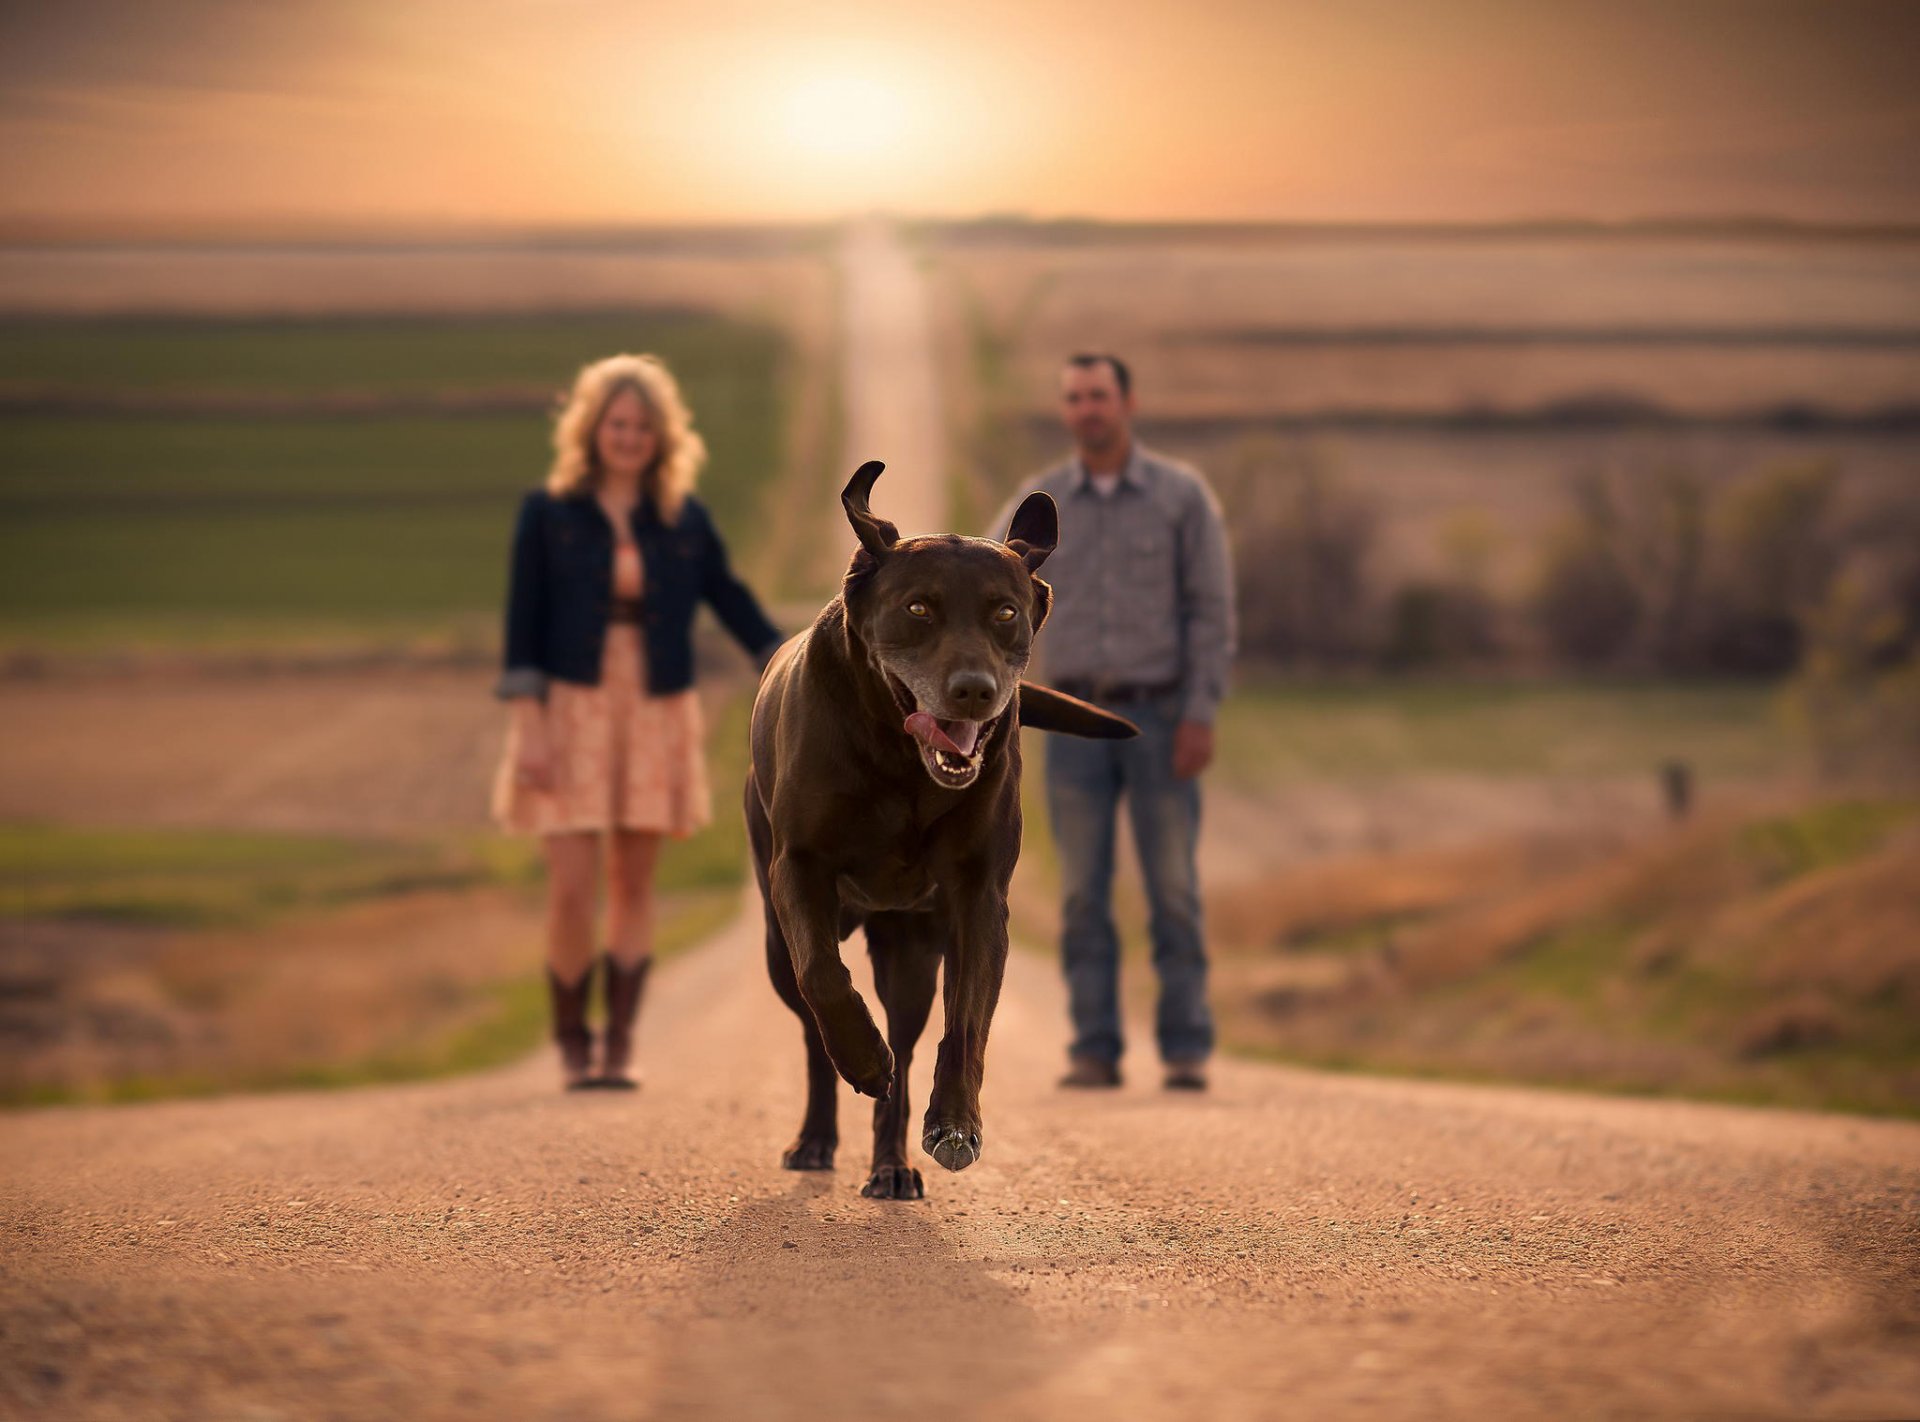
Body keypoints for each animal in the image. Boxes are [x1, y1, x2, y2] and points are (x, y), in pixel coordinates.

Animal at [741, 460, 1128, 1189]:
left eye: (1005, 612)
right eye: (918, 608)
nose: (974, 690)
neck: (903, 763)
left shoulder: (978, 898)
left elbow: (968, 1021)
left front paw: (955, 1123)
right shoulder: (800, 869)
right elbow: (824, 977)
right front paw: (862, 1059)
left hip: (911, 951)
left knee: (907, 1039)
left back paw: (892, 1165)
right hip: (778, 941)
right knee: (810, 1022)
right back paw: (820, 1131)